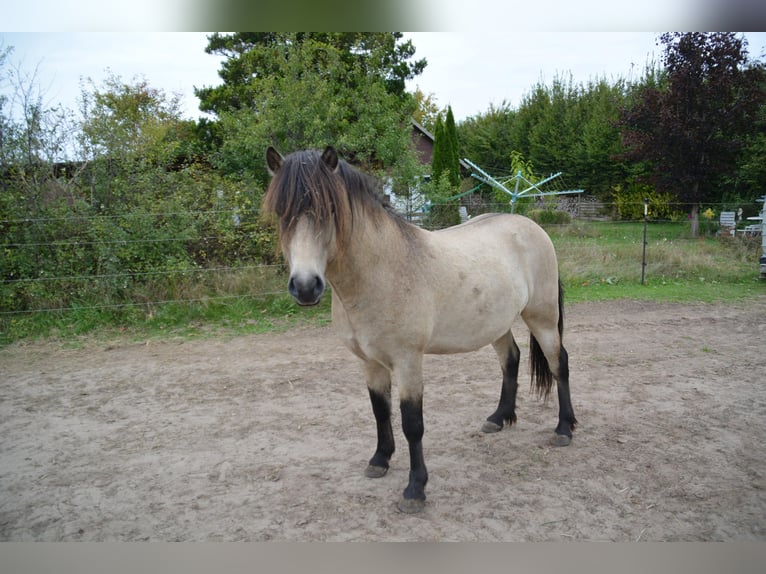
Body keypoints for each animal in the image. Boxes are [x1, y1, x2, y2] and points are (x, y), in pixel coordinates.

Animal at [262, 146, 577, 514]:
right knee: (510, 359)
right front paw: (380, 460)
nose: (305, 287)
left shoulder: (408, 361)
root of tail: (532, 227)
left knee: (559, 363)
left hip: (542, 319)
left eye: (330, 210)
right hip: (497, 323)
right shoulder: (370, 363)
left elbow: (412, 423)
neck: (382, 271)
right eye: (281, 212)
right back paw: (499, 418)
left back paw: (564, 428)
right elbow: (379, 411)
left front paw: (415, 489)